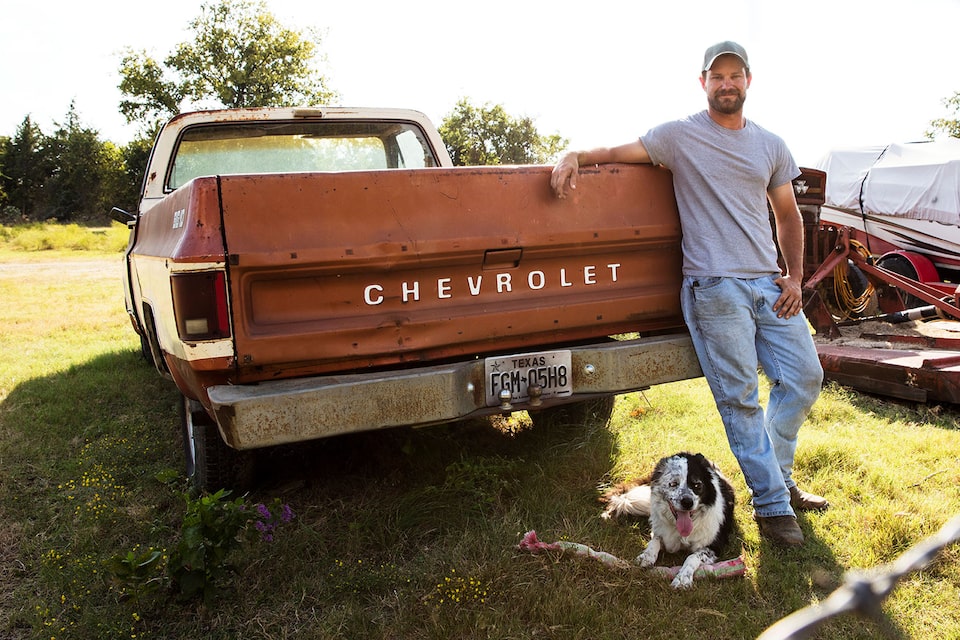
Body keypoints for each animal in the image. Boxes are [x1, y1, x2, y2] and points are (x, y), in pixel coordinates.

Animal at [600, 452, 736, 588]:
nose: (687, 502)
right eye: (673, 484)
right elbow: (655, 541)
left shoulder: (714, 546)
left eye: (697, 485)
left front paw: (682, 578)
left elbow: (692, 557)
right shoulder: (661, 533)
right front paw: (646, 556)